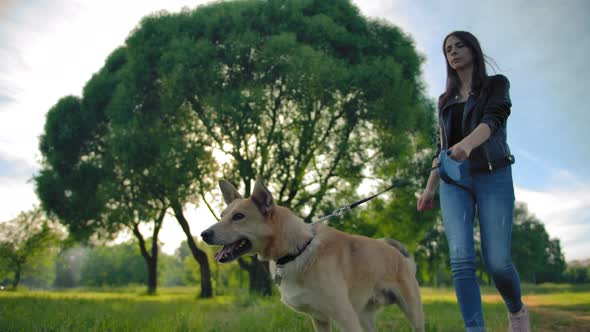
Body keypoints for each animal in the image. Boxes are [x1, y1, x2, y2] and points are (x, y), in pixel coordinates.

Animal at [202, 178, 426, 332]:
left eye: (238, 217)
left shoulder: (346, 318)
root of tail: (398, 253)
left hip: (412, 312)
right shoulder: (320, 319)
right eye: (221, 216)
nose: (204, 234)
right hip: (364, 316)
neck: (297, 250)